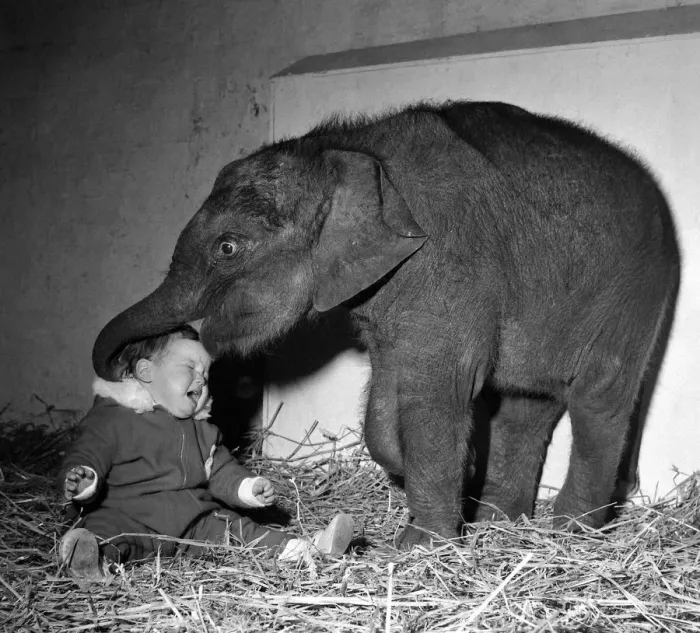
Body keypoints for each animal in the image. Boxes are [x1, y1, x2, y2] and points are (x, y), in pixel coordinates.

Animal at [92, 100, 680, 548]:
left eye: (228, 248)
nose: (121, 364)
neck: (349, 151)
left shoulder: (451, 266)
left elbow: (436, 392)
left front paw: (424, 545)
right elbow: (388, 387)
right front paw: (441, 480)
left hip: (635, 293)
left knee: (599, 398)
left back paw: (571, 535)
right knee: (528, 408)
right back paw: (502, 525)